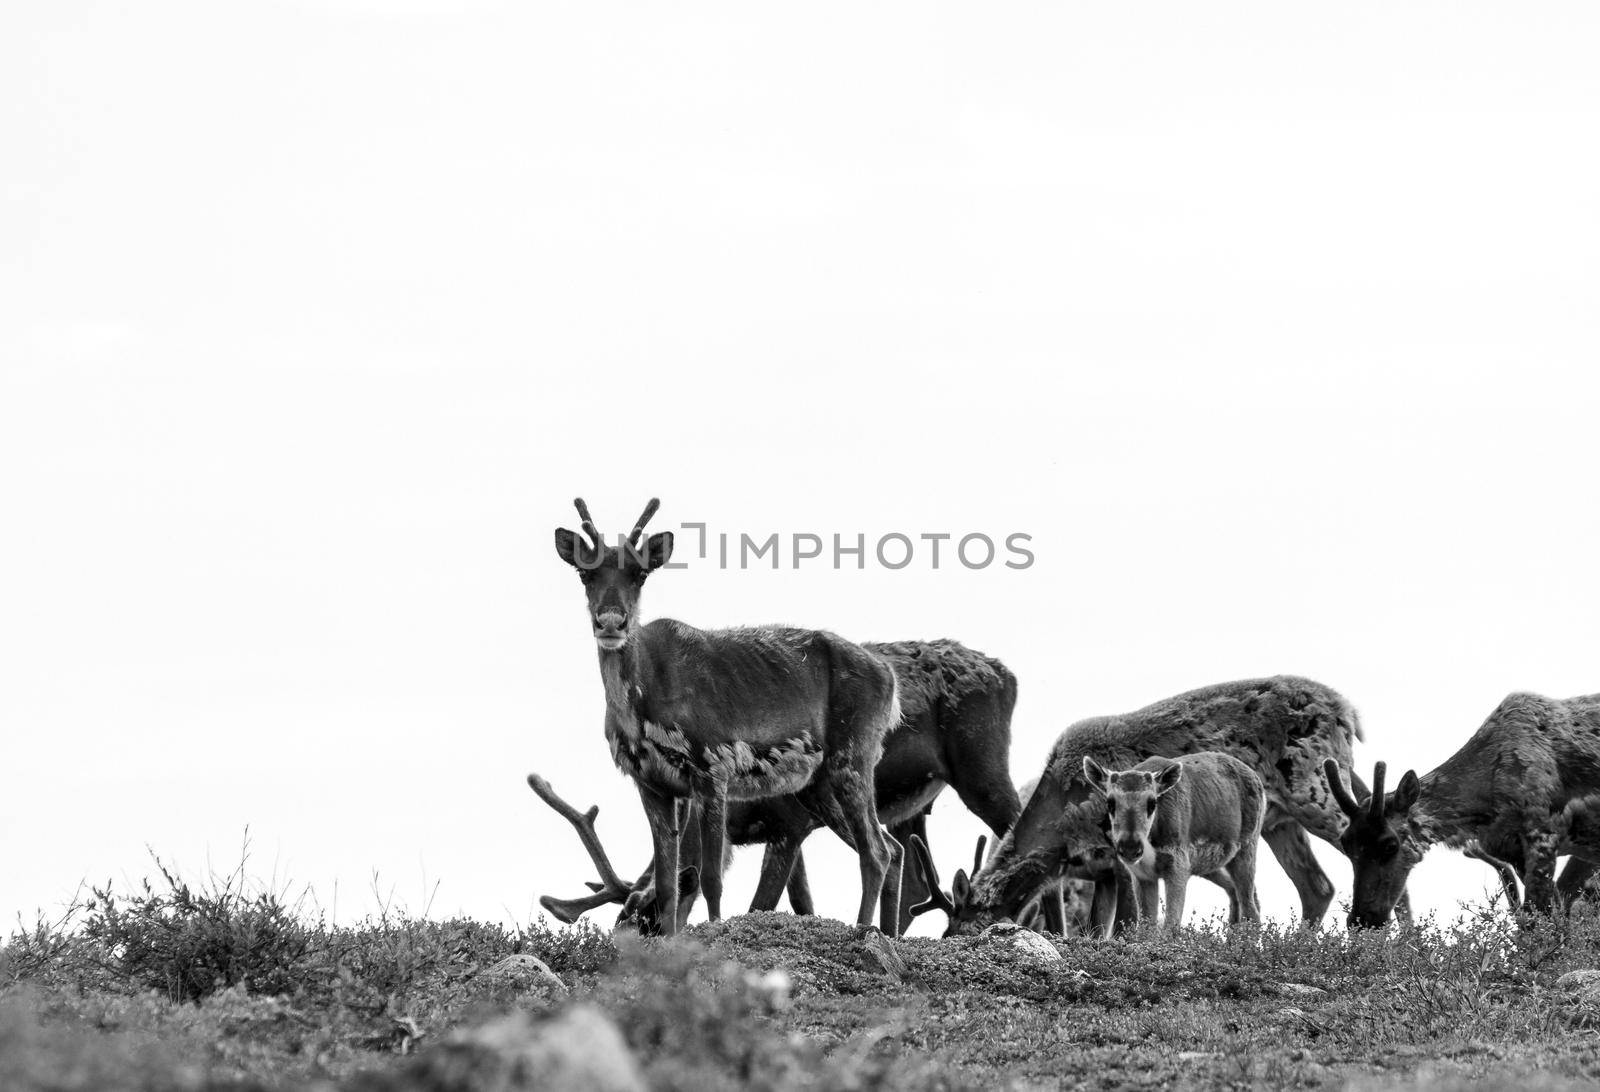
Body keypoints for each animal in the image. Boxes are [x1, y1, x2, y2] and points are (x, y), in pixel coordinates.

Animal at [1081, 752, 1267, 928]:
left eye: (1152, 802)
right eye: (1110, 802)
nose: (1130, 848)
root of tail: (1259, 783)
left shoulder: (1178, 864)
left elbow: (1171, 926)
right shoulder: (1142, 874)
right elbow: (1147, 927)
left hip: (1247, 845)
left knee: (1250, 908)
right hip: (1210, 865)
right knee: (1239, 893)